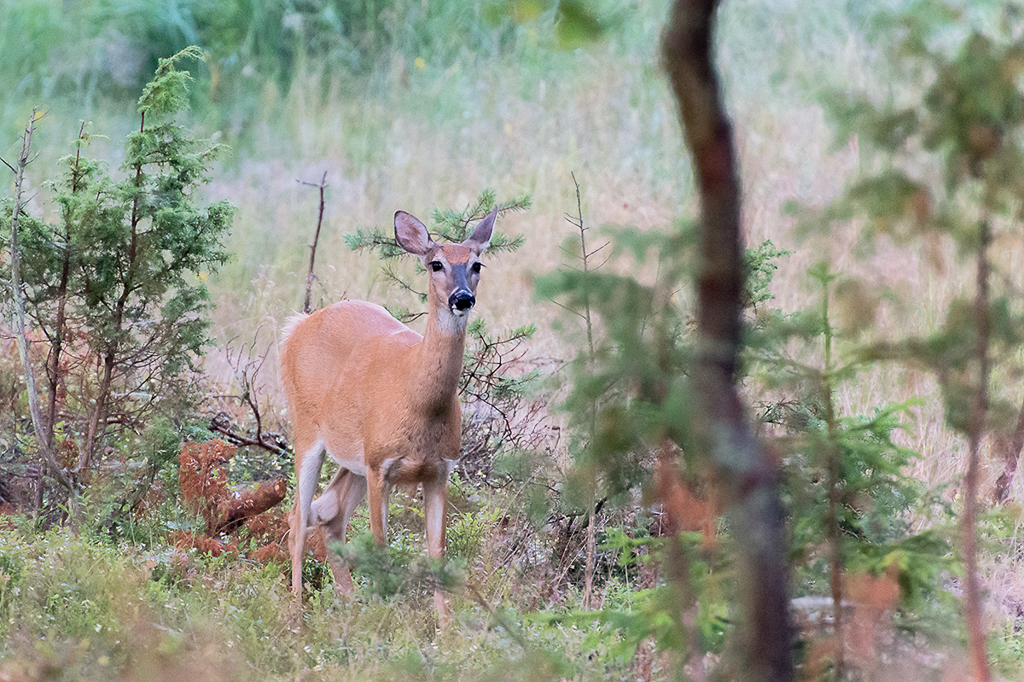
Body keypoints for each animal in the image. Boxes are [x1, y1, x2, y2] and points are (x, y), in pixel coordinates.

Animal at [280, 207, 497, 616]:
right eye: (435, 263)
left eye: (477, 264)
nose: (462, 298)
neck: (418, 402)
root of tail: (297, 326)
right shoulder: (380, 466)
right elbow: (380, 548)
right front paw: (387, 619)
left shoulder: (440, 469)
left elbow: (437, 552)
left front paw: (442, 626)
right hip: (307, 429)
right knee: (298, 517)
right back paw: (298, 613)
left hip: (353, 457)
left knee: (328, 512)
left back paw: (349, 605)